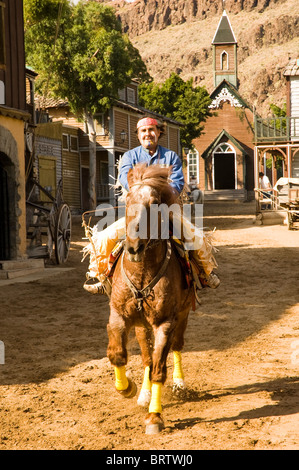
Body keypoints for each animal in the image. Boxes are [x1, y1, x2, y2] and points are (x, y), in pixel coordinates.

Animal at [107, 162, 195, 434]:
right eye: (127, 200)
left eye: (155, 202)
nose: (134, 246)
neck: (142, 274)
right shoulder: (118, 316)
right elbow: (118, 355)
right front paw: (128, 388)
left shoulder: (165, 322)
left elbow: (158, 368)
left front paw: (155, 416)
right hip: (140, 326)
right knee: (146, 357)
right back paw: (144, 394)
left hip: (183, 315)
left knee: (175, 347)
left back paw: (179, 384)